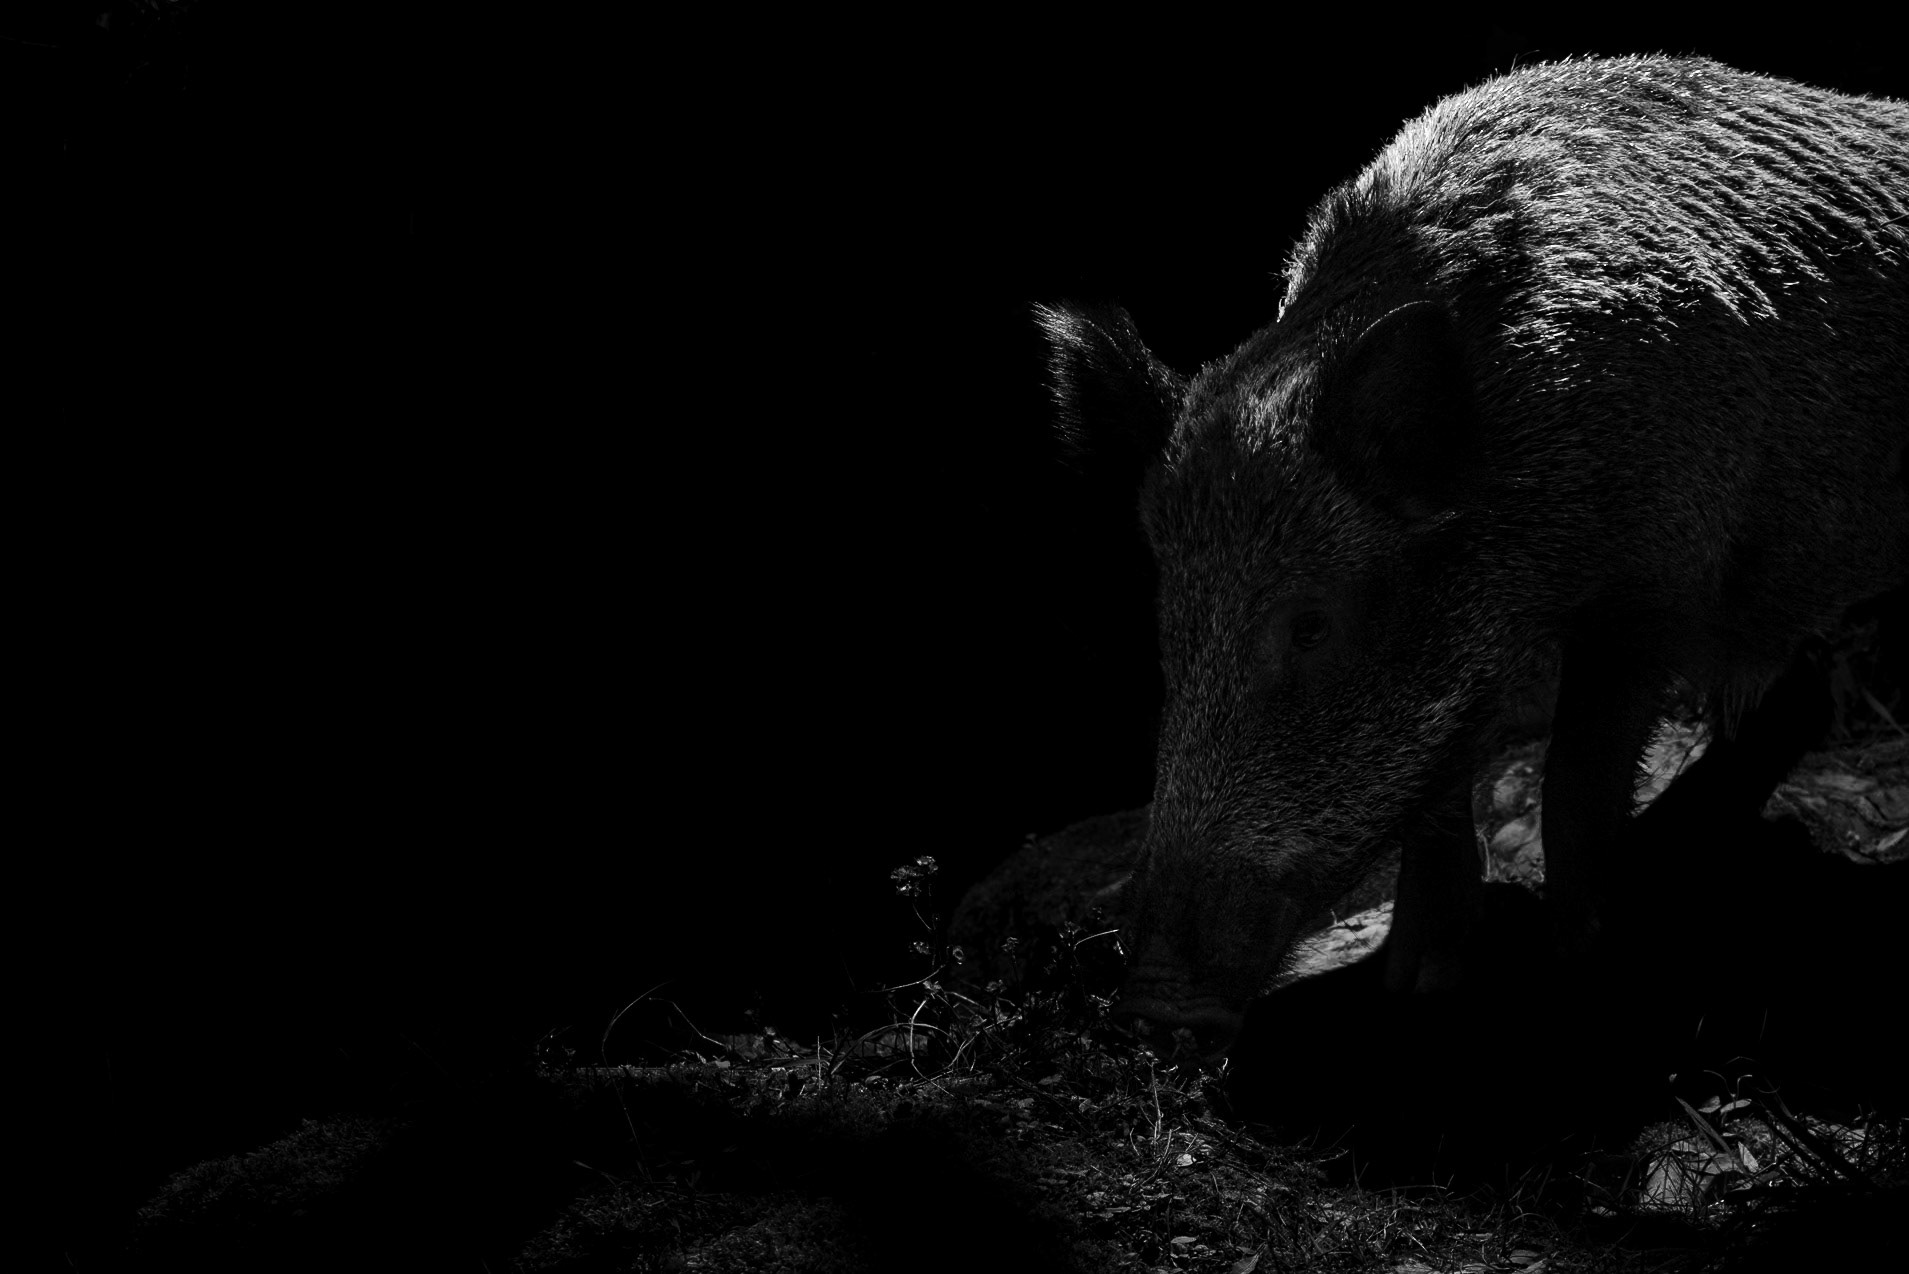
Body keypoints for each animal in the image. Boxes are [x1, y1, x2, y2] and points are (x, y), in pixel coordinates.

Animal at [1038, 55, 1909, 1063]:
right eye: (1170, 625)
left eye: (1311, 624)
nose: (1156, 1006)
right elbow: (1438, 791)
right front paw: (1413, 988)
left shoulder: (1653, 592)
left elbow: (1573, 786)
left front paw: (1580, 969)